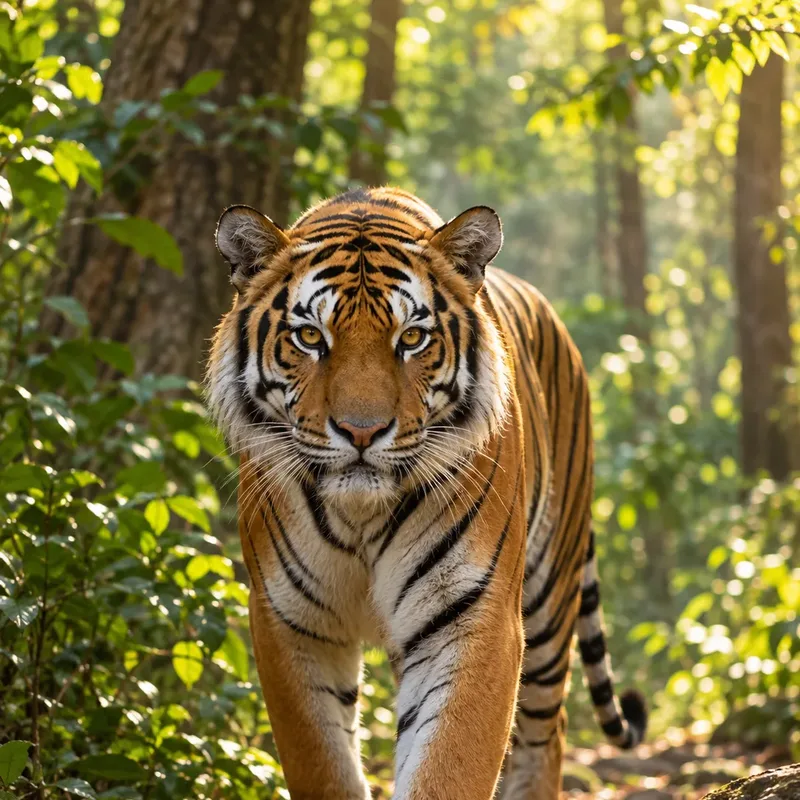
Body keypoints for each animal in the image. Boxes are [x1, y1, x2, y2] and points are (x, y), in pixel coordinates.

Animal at [205, 186, 646, 800]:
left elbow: (450, 766)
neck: (360, 514)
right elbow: (324, 767)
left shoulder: (472, 616)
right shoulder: (290, 622)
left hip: (549, 600)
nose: (361, 431)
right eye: (310, 336)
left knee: (545, 737)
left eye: (411, 338)